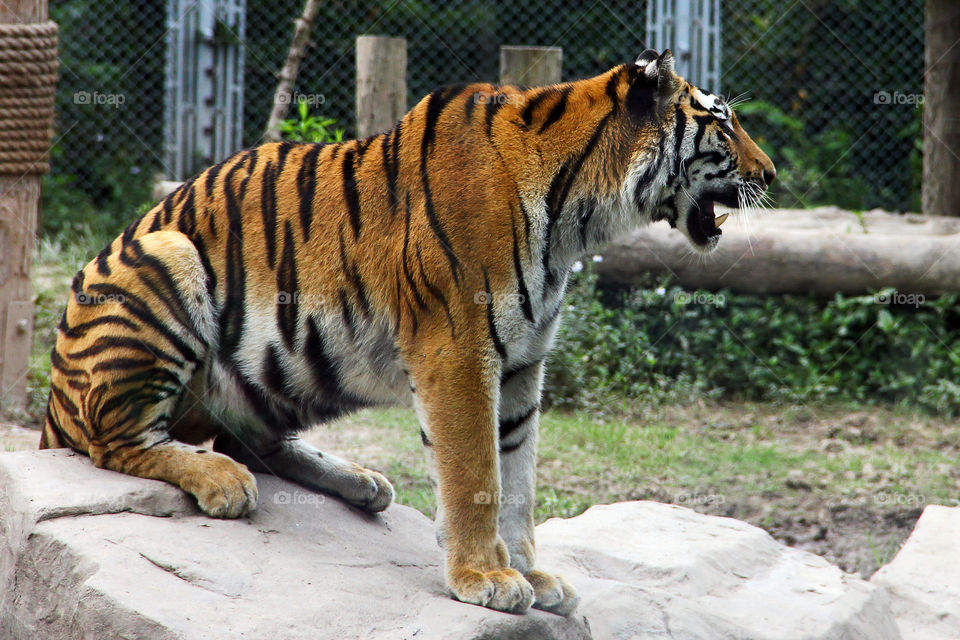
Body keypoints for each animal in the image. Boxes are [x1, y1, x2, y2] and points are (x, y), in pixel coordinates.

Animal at [41, 50, 772, 616]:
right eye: (723, 122)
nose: (771, 175)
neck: (578, 217)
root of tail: (51, 401)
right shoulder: (458, 351)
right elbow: (476, 472)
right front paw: (486, 578)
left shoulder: (523, 367)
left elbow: (518, 478)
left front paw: (532, 575)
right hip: (164, 262)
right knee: (116, 439)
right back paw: (220, 482)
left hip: (290, 371)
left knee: (249, 439)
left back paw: (361, 482)